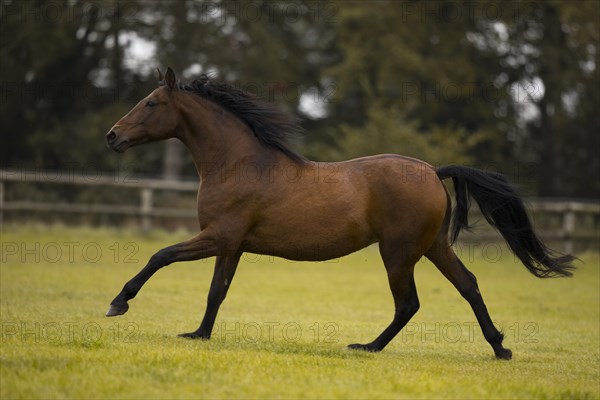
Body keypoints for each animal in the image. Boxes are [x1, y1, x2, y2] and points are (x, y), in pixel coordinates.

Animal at [105, 68, 576, 360]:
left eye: (150, 103)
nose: (112, 136)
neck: (238, 163)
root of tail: (432, 170)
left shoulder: (219, 236)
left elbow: (161, 256)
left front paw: (118, 303)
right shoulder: (232, 245)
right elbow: (216, 292)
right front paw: (198, 334)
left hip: (399, 252)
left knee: (409, 303)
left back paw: (367, 347)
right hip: (434, 247)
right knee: (469, 286)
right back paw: (500, 349)